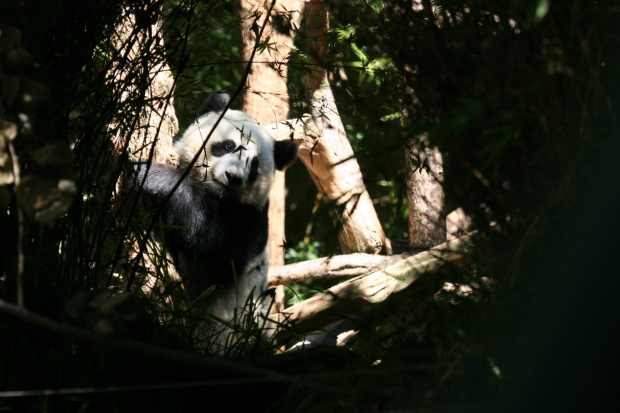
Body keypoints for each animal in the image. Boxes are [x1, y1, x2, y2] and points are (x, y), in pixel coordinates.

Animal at [131, 93, 298, 348]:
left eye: (254, 164)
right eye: (228, 146)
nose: (233, 177)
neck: (214, 193)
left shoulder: (250, 221)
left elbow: (216, 248)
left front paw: (153, 176)